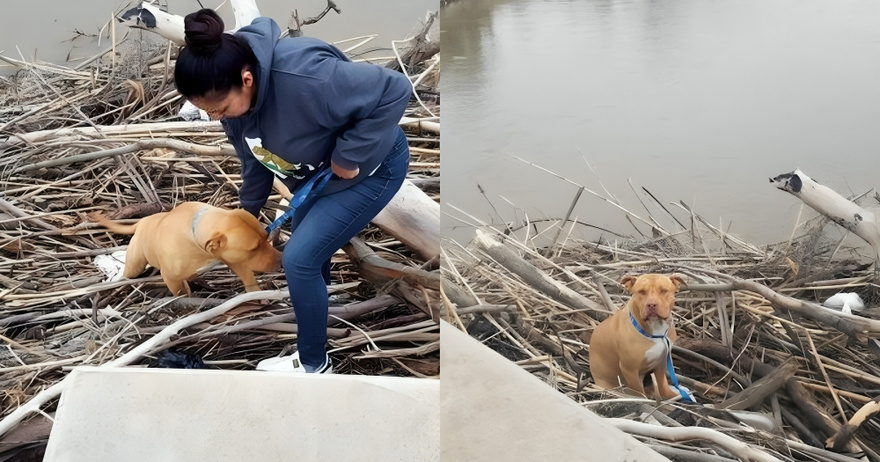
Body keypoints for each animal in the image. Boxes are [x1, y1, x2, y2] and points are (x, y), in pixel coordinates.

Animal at [89, 202, 282, 296]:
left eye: (266, 238)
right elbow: (182, 294)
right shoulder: (171, 279)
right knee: (129, 272)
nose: (281, 261)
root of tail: (142, 222)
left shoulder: (235, 260)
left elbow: (248, 279)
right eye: (254, 248)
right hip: (135, 265)